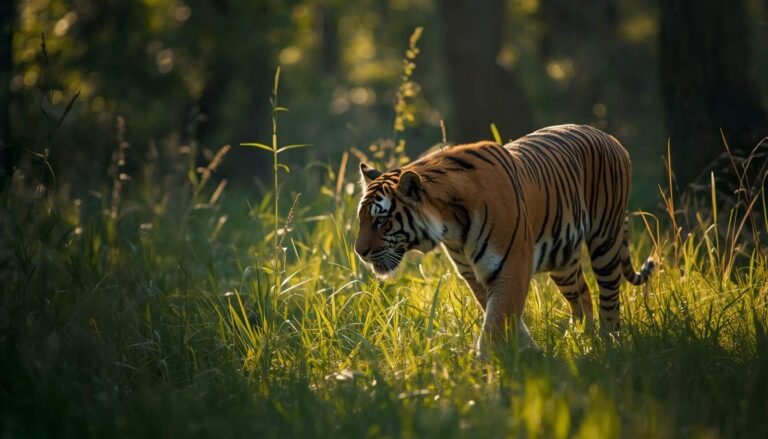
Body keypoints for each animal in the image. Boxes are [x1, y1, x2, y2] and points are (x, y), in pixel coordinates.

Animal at [354, 124, 655, 356]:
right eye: (362, 219)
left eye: (381, 221)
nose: (360, 252)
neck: (450, 225)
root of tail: (608, 136)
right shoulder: (475, 275)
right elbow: (502, 317)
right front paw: (530, 354)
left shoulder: (511, 266)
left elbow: (496, 322)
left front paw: (486, 370)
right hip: (563, 260)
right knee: (583, 296)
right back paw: (583, 339)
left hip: (606, 240)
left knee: (609, 300)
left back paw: (609, 344)